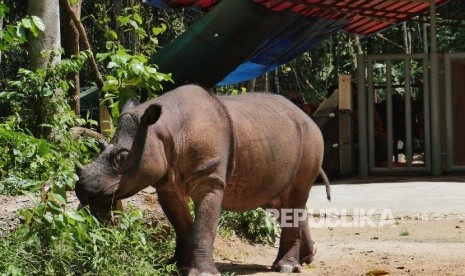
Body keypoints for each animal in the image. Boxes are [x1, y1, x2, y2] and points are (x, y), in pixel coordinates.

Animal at [75, 85, 330, 274]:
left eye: (122, 157)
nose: (82, 189)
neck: (164, 129)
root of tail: (308, 117)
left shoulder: (210, 178)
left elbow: (204, 226)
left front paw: (202, 272)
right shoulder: (166, 183)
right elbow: (182, 225)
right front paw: (178, 266)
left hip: (312, 138)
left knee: (295, 196)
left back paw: (286, 268)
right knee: (279, 202)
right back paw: (308, 257)